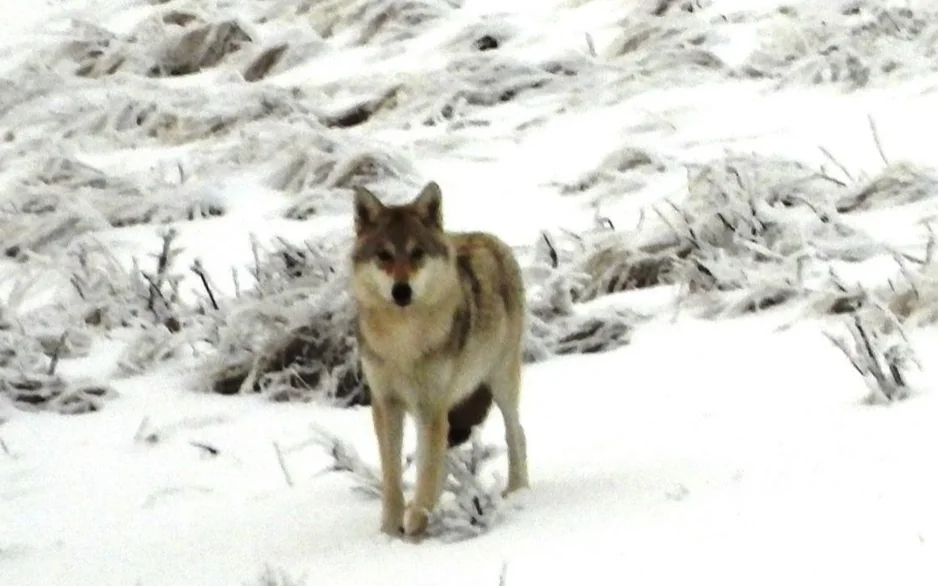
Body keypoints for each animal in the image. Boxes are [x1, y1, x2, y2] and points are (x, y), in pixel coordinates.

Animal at [349, 180, 529, 540]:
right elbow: (393, 476)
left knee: (516, 434)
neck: (402, 341)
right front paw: (390, 531)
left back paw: (517, 493)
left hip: (501, 383)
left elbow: (425, 470)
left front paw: (417, 522)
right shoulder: (386, 404)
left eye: (417, 253)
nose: (401, 291)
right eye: (384, 255)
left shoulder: (429, 406)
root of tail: (488, 238)